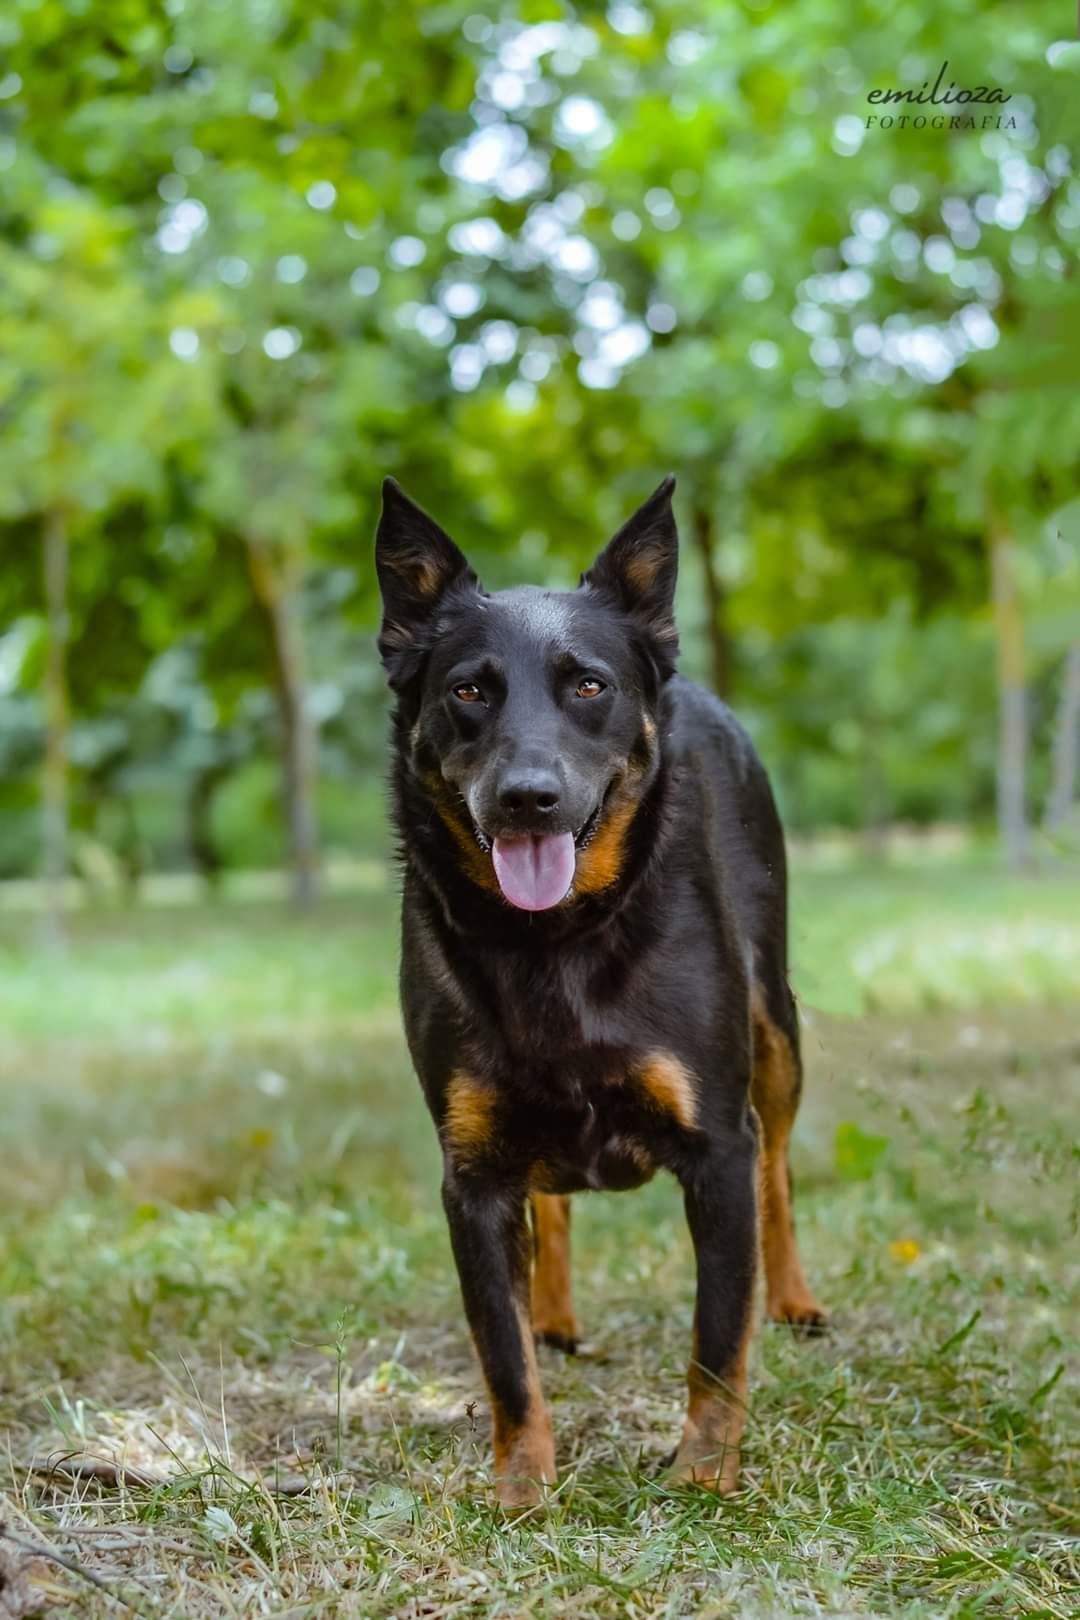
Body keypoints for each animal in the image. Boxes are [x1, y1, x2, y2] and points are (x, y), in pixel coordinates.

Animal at [375, 473, 822, 1509]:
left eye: (590, 685)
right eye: (467, 690)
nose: (527, 797)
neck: (554, 943)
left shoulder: (717, 1148)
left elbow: (717, 1340)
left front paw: (703, 1475)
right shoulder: (472, 1174)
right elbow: (503, 1359)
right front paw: (522, 1490)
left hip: (776, 1033)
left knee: (781, 1173)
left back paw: (793, 1298)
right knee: (553, 1206)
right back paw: (554, 1313)